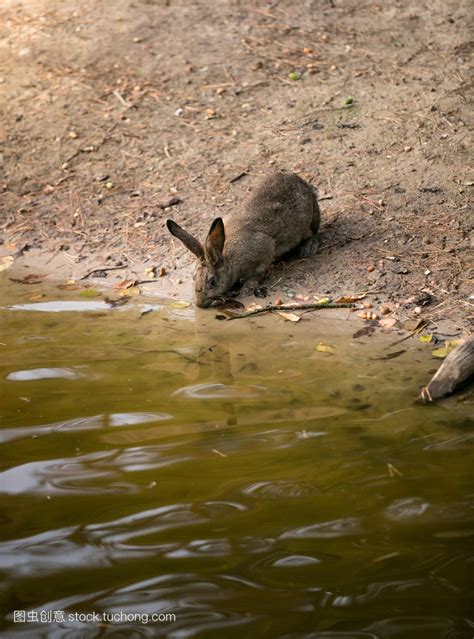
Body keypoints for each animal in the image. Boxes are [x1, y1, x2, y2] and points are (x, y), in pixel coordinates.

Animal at [165, 171, 320, 308]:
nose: (199, 304)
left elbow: (258, 274)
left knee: (313, 233)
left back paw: (307, 249)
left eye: (212, 282)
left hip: (309, 221)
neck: (229, 260)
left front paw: (246, 289)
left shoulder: (264, 252)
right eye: (193, 278)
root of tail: (301, 182)